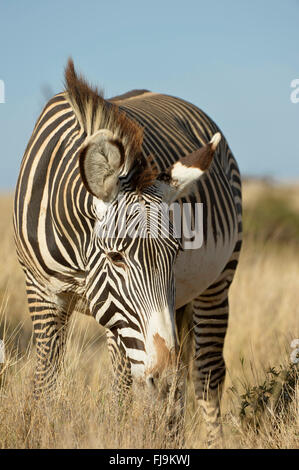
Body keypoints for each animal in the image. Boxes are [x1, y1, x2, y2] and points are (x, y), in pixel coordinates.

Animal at [14, 58, 244, 444]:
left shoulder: (118, 318)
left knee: (206, 374)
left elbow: (120, 394)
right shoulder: (41, 292)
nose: (162, 377)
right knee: (181, 382)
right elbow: (45, 382)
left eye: (176, 252)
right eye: (115, 257)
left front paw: (118, 437)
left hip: (217, 283)